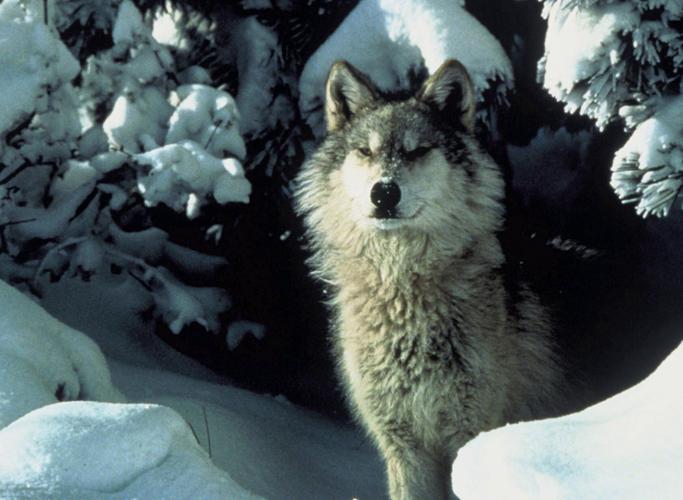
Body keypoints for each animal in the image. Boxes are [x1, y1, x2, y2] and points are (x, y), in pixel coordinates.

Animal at [295, 59, 567, 500]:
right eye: (366, 151)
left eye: (417, 150)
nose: (384, 192)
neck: (402, 290)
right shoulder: (404, 446)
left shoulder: (469, 436)